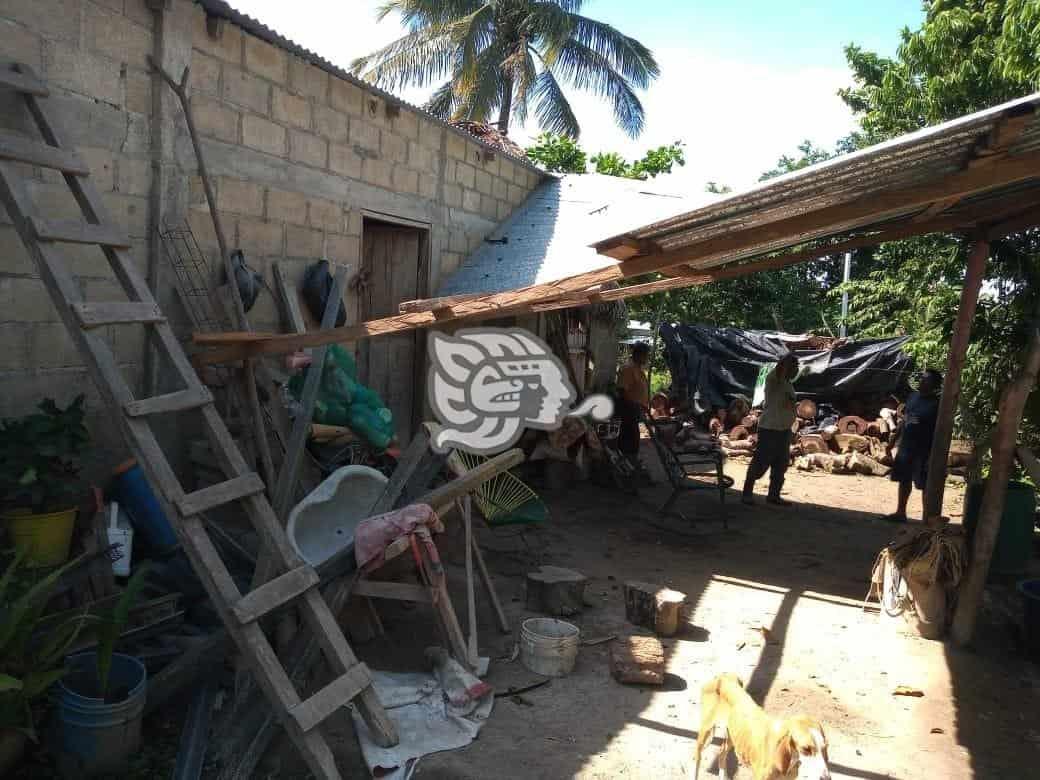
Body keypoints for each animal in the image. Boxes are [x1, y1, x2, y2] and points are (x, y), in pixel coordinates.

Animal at [694, 673, 832, 777]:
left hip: (733, 735)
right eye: (805, 749)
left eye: (825, 747)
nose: (826, 778)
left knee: (721, 753)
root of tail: (723, 676)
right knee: (696, 757)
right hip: (705, 731)